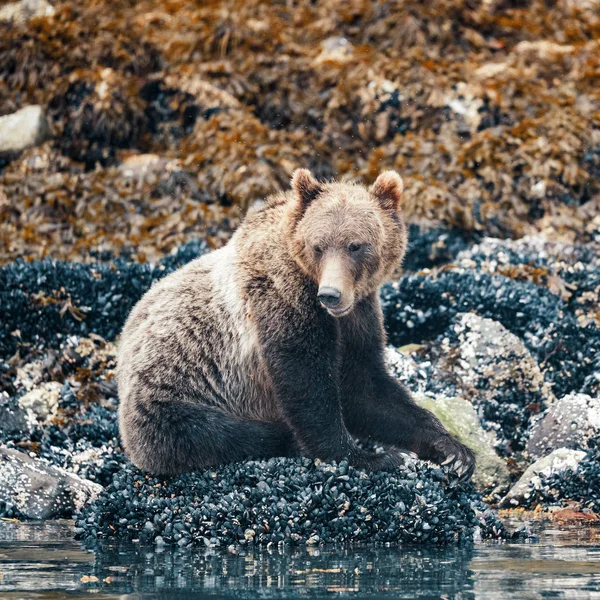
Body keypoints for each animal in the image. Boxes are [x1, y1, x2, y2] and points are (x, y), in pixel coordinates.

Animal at [116, 169, 474, 478]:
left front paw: (453, 450)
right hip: (170, 399)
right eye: (319, 245)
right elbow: (306, 382)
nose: (330, 294)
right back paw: (284, 440)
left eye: (356, 245)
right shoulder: (283, 299)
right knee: (217, 433)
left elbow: (366, 387)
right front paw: (373, 456)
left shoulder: (359, 314)